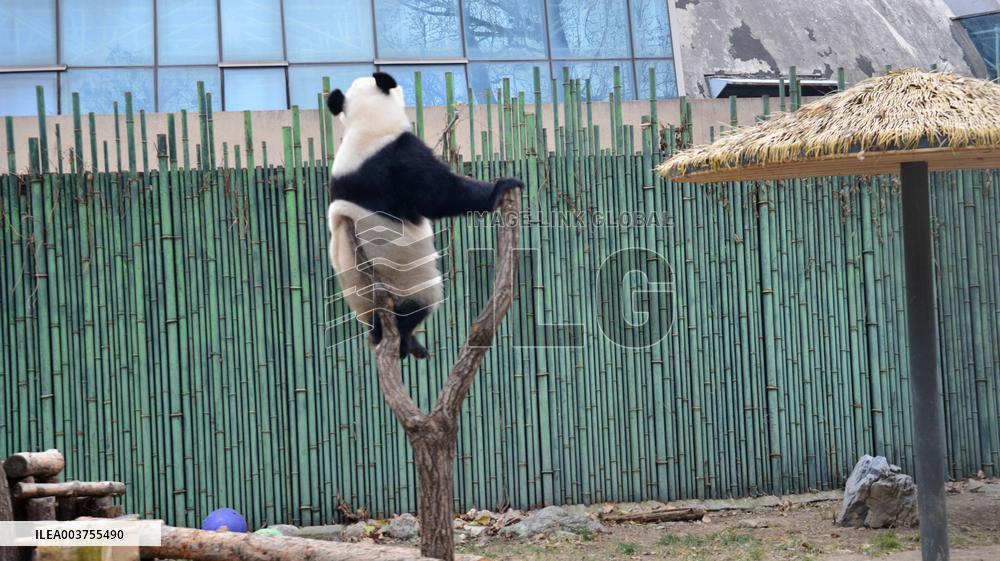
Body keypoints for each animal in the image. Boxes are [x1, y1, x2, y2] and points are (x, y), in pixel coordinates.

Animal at [326, 72, 522, 359]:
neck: (364, 124)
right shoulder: (398, 157)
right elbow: (438, 194)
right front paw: (500, 188)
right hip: (402, 277)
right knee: (419, 303)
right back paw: (404, 339)